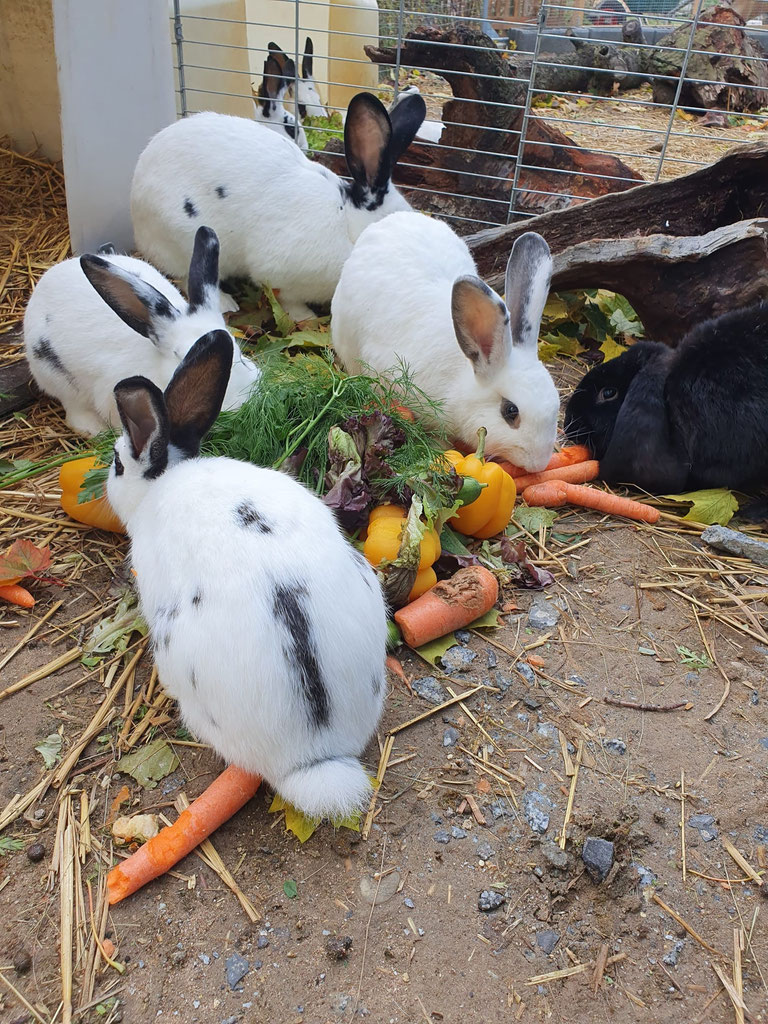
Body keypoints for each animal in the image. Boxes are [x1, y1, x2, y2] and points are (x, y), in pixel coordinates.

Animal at [23, 226, 259, 436]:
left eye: (238, 351)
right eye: (179, 356)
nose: (241, 404)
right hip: (57, 377)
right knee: (73, 408)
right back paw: (93, 429)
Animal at [130, 90, 426, 321]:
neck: (346, 224)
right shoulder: (280, 275)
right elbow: (288, 301)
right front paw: (306, 317)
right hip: (179, 241)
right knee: (183, 276)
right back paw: (226, 303)